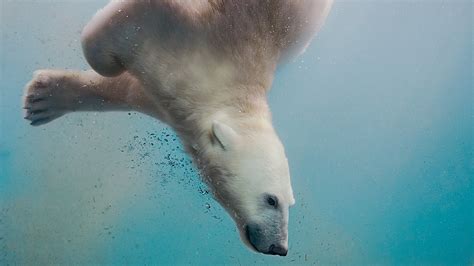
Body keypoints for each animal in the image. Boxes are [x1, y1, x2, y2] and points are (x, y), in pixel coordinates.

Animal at [23, 0, 334, 258]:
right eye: (271, 200)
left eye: (290, 203)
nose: (280, 248)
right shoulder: (200, 33)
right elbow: (114, 48)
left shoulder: (176, 94)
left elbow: (128, 89)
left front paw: (42, 98)